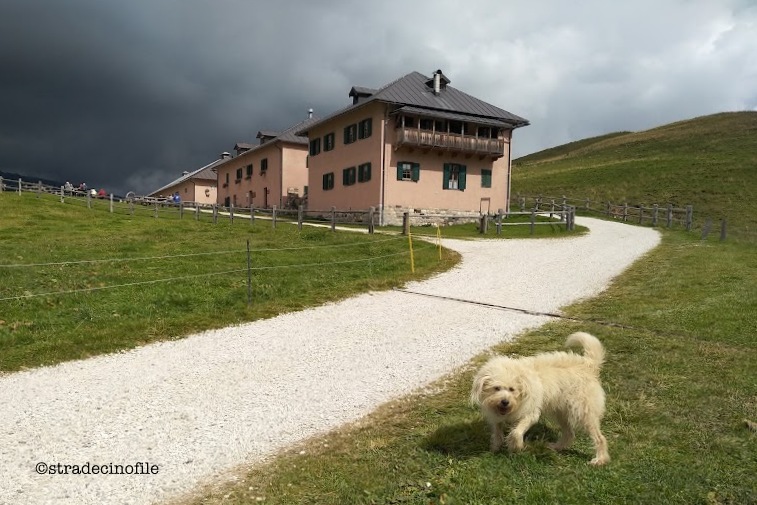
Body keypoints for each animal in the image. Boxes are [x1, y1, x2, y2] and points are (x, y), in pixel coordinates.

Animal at [470, 330, 612, 464]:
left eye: (512, 389)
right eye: (496, 388)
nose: (505, 402)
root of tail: (589, 366)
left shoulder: (530, 414)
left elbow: (516, 433)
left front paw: (516, 447)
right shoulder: (496, 417)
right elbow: (497, 431)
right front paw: (496, 447)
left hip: (583, 413)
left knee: (599, 438)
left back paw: (600, 459)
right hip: (561, 412)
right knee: (569, 434)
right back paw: (557, 447)